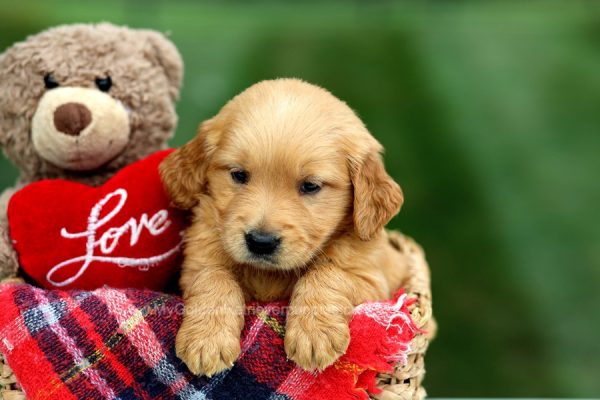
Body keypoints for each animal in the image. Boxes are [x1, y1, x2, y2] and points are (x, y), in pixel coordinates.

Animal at [161, 79, 408, 378]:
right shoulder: (196, 260)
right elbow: (213, 276)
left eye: (311, 186)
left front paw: (315, 333)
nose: (260, 241)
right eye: (239, 175)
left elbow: (327, 273)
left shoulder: (374, 280)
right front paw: (207, 339)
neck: (269, 275)